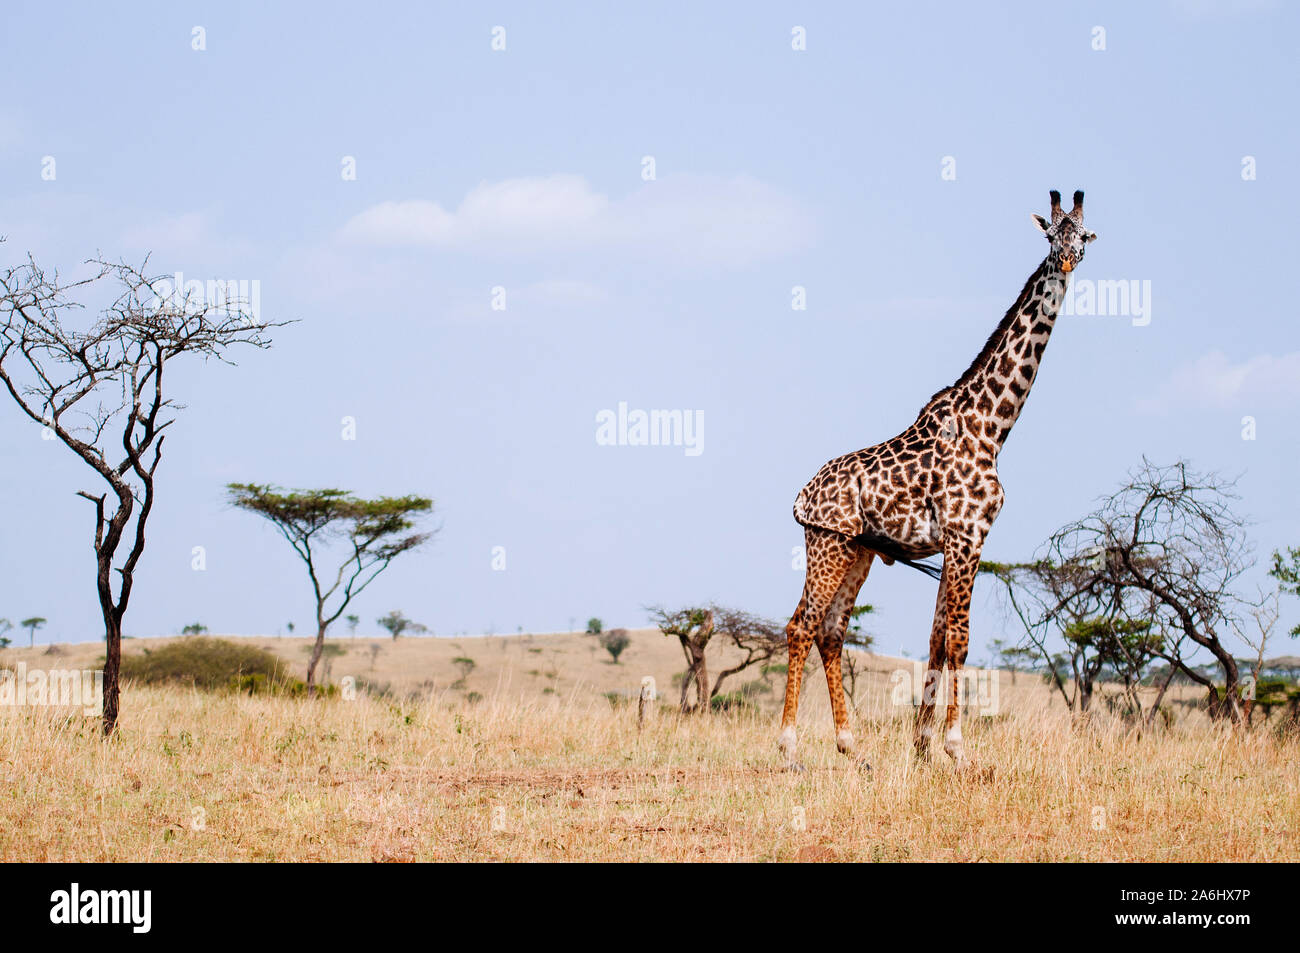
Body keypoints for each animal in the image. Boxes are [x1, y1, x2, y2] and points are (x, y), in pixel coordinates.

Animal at [780, 189, 1097, 769]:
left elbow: (935, 638)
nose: (1066, 261)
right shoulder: (968, 535)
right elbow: (959, 639)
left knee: (831, 630)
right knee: (802, 625)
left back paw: (850, 744)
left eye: (1083, 235)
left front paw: (923, 743)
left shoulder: (957, 541)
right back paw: (790, 746)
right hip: (826, 545)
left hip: (856, 551)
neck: (991, 426)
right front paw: (956, 747)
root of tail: (801, 496)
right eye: (1050, 235)